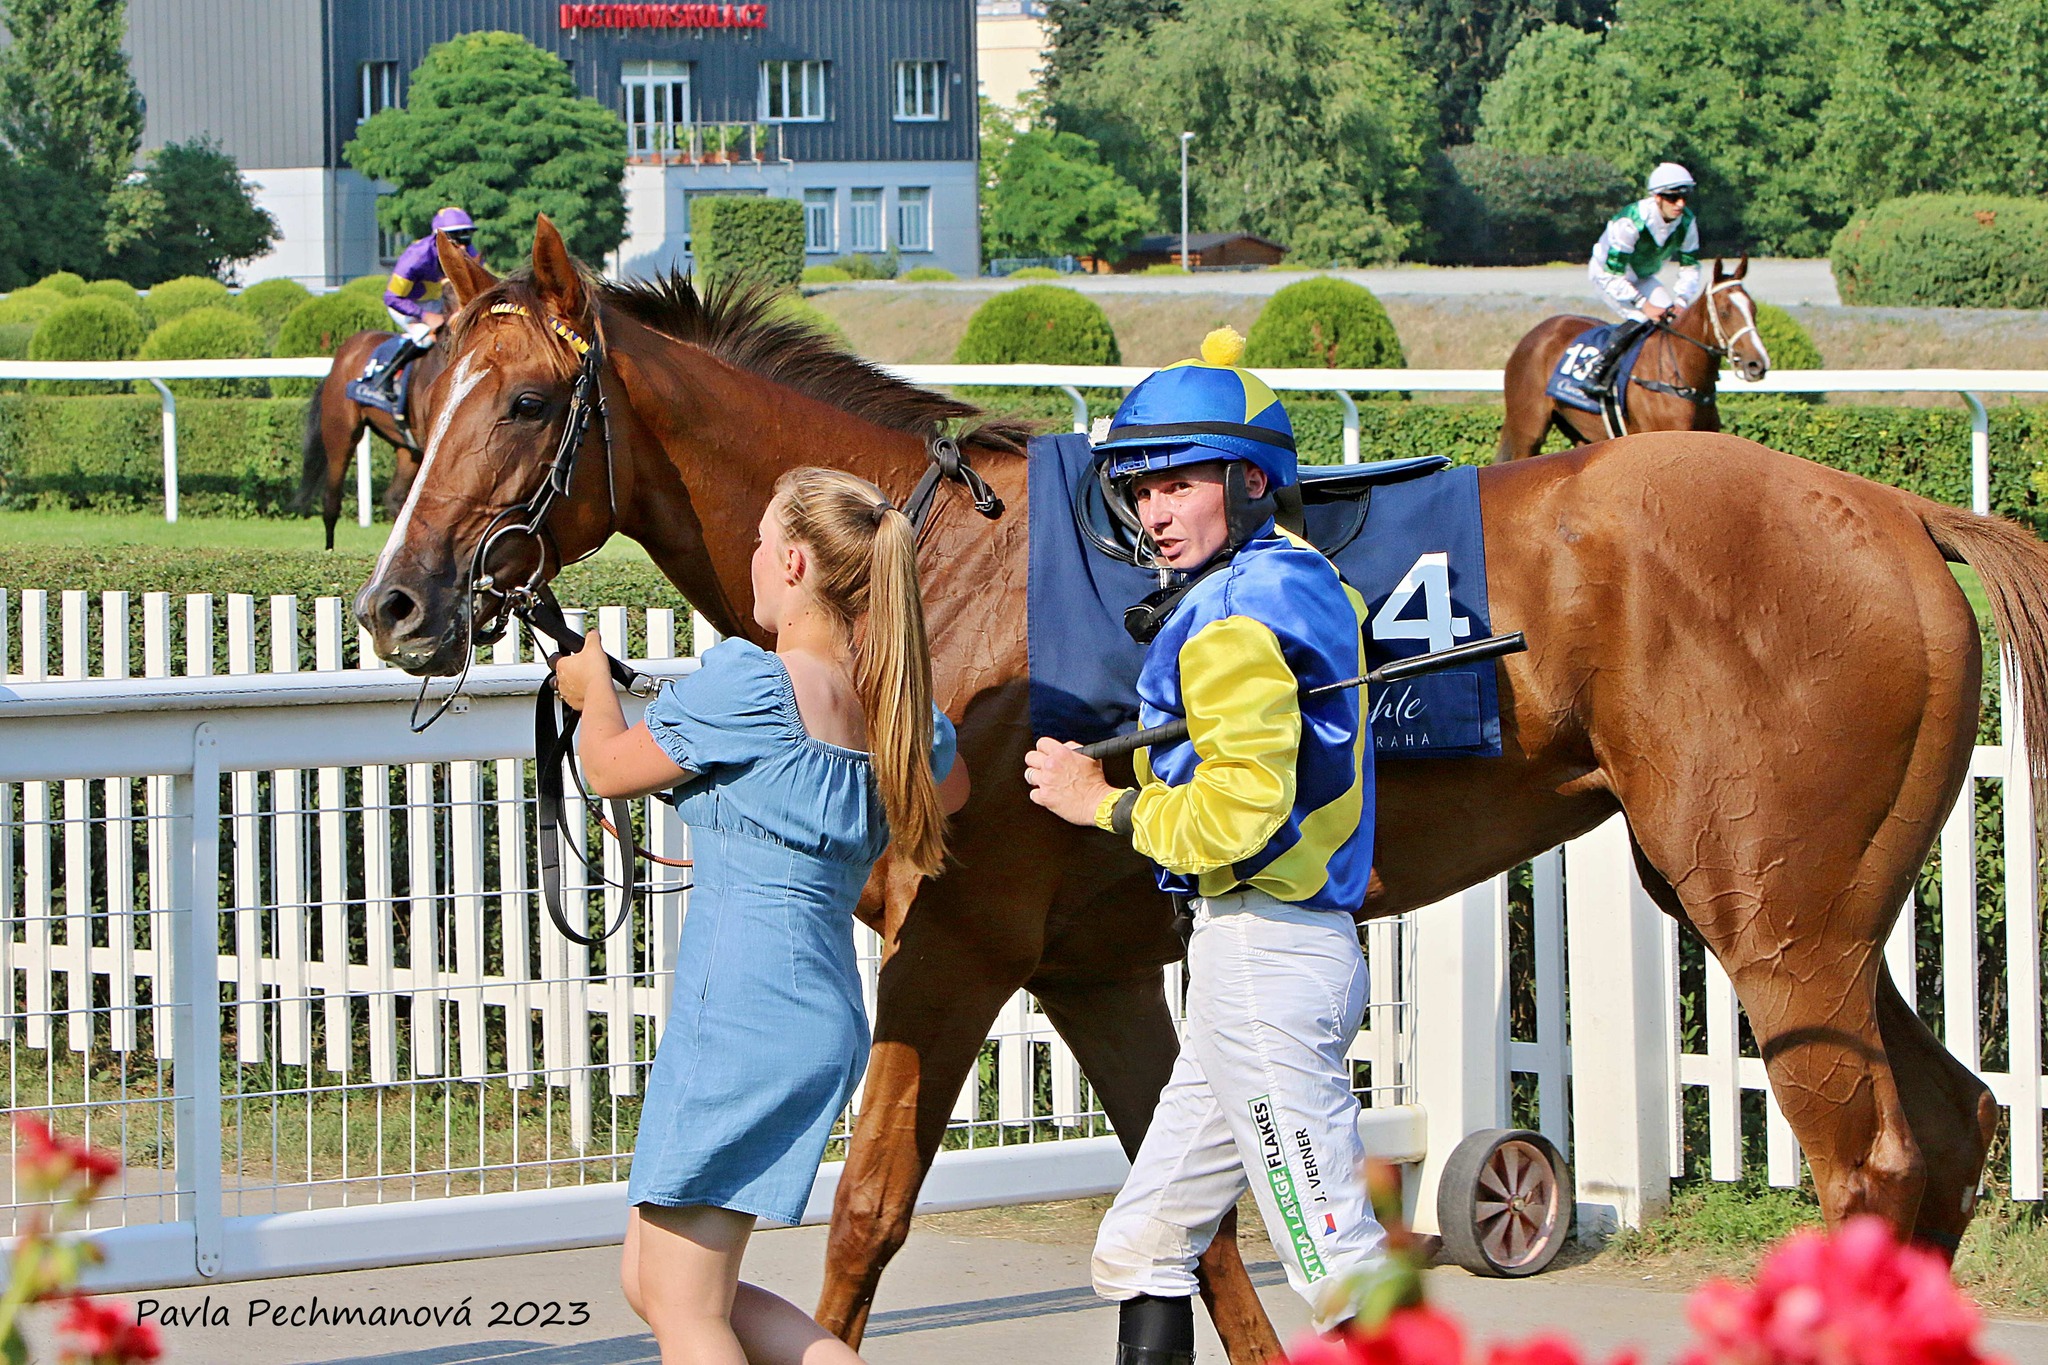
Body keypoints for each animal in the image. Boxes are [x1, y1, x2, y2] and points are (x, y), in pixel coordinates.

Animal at [1490, 258, 1777, 462]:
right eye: (1726, 312)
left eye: (1753, 309)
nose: (1757, 364)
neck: (1681, 374)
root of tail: (1531, 336)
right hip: (1528, 428)